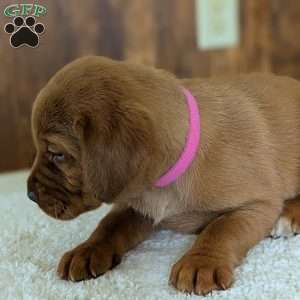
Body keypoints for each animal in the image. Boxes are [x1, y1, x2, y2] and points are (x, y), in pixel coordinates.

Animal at [27, 56, 300, 296]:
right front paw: (87, 250)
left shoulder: (258, 204)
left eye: (57, 154)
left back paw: (288, 216)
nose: (29, 195)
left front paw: (201, 262)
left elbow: (222, 229)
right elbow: (108, 225)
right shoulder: (134, 204)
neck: (159, 186)